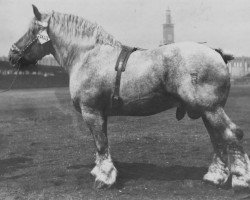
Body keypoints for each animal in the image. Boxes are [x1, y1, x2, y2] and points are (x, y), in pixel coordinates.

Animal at [7, 4, 250, 189]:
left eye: (31, 31)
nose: (11, 55)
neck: (89, 56)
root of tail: (216, 53)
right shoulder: (100, 114)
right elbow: (101, 142)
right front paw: (100, 171)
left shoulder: (91, 112)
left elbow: (101, 143)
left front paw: (104, 178)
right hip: (206, 111)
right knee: (218, 138)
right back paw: (215, 177)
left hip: (211, 109)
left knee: (232, 134)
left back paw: (240, 180)